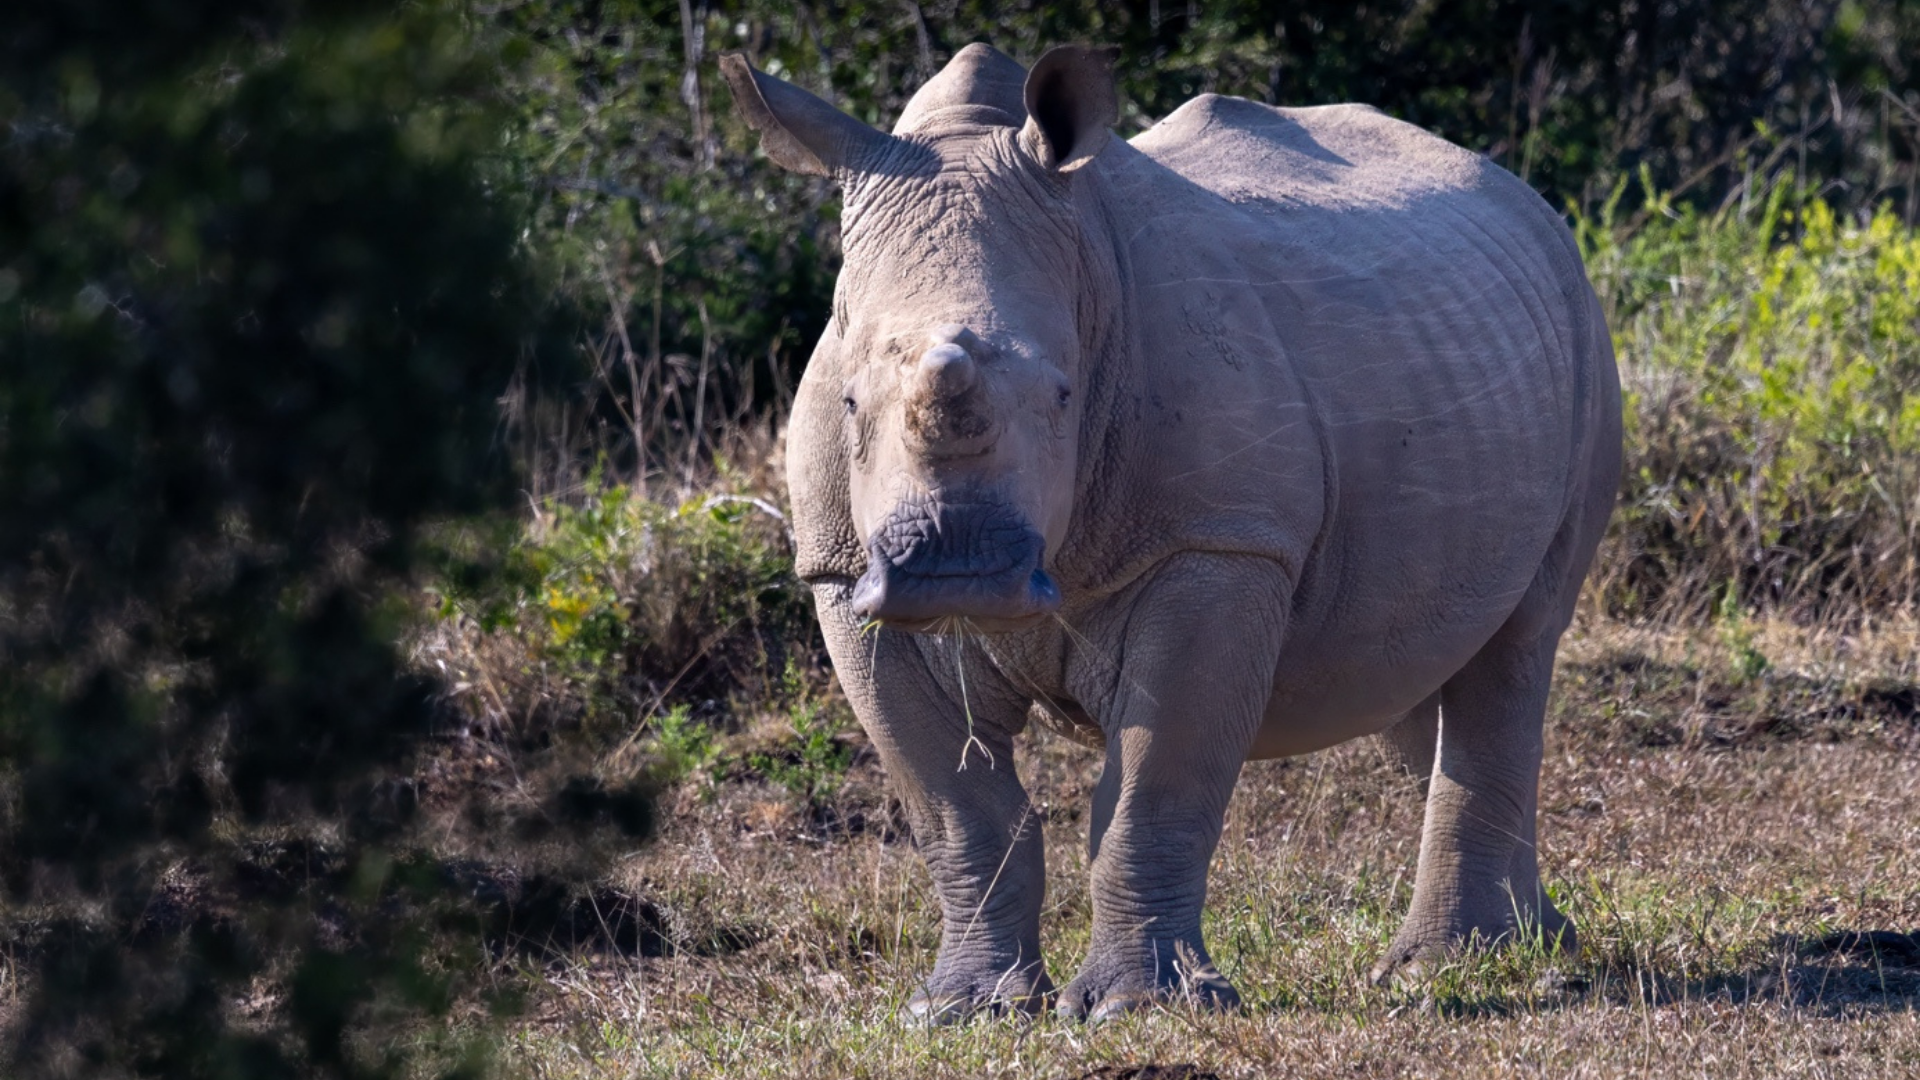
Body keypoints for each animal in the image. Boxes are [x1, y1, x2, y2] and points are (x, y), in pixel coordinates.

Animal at [719, 42, 1621, 1022]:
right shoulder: (841, 573)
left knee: (1517, 640)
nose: (956, 573)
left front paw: (1137, 1008)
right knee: (1419, 661)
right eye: (849, 402)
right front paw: (963, 1010)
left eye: (1064, 396)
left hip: (1583, 335)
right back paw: (1533, 945)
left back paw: (1447, 968)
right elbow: (956, 809)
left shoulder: (1217, 541)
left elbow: (1154, 786)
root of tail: (1523, 196)